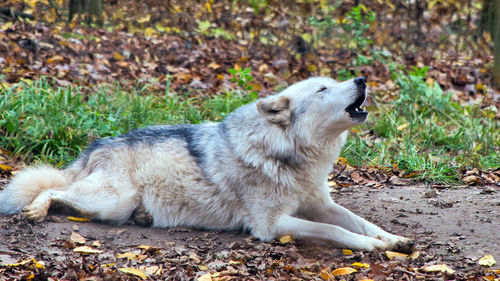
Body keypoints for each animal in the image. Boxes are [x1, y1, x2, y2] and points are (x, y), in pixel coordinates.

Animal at [0, 77, 412, 252]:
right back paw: (37, 209)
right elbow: (337, 232)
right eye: (323, 89)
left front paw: (394, 240)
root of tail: (93, 147)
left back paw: (144, 218)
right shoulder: (271, 226)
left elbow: (359, 222)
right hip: (110, 202)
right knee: (54, 189)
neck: (291, 154)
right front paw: (373, 247)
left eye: (337, 80)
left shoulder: (321, 204)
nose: (361, 78)